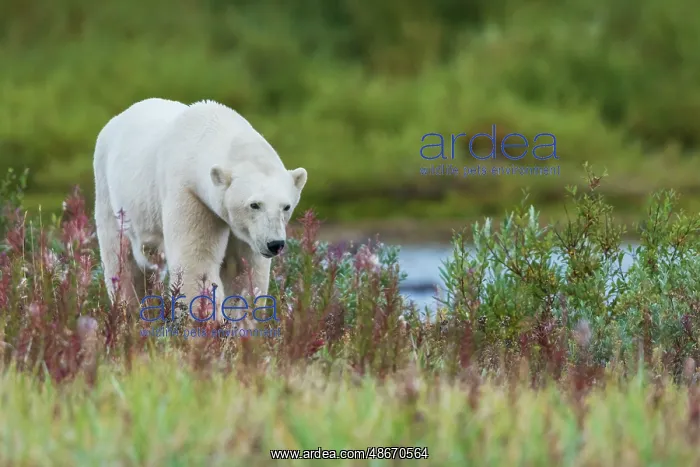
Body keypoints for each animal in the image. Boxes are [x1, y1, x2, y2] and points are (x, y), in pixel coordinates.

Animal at [92, 98, 307, 325]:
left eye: (286, 206)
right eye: (254, 204)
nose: (275, 244)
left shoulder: (245, 232)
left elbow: (244, 270)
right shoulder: (190, 194)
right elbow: (196, 262)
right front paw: (207, 324)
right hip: (110, 193)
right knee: (121, 260)